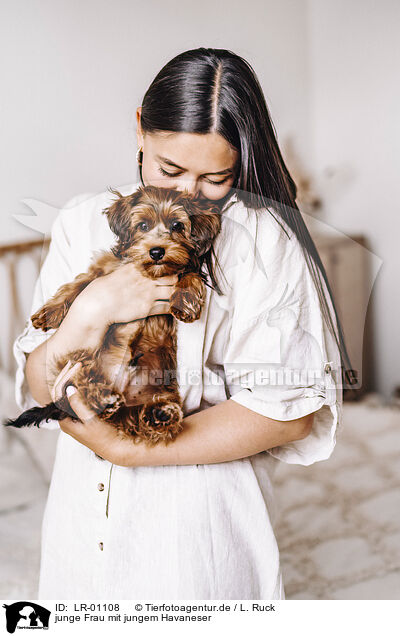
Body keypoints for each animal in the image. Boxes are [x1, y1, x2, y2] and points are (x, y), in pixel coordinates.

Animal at [7, 185, 225, 448]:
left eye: (177, 226)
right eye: (143, 225)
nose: (157, 251)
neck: (151, 272)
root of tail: (122, 392)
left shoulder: (186, 267)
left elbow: (190, 275)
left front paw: (184, 302)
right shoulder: (104, 269)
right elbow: (78, 285)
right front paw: (49, 311)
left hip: (162, 388)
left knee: (142, 419)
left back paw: (159, 415)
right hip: (76, 360)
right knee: (79, 385)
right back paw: (103, 398)